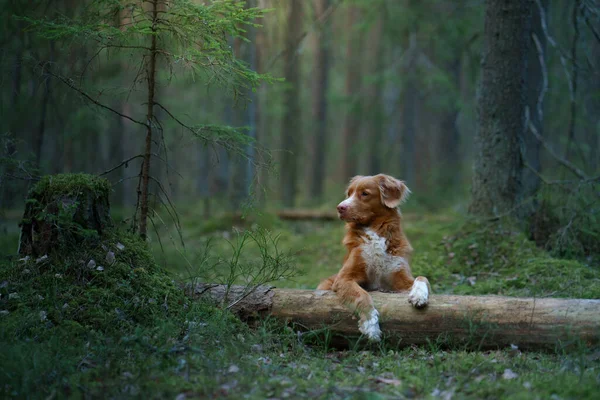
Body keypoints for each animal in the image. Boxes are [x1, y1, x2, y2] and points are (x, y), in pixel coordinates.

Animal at [316, 174, 428, 340]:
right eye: (349, 193)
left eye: (365, 193)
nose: (340, 207)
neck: (375, 232)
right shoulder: (344, 278)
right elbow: (362, 295)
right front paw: (370, 325)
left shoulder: (399, 275)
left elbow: (422, 277)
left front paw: (419, 295)